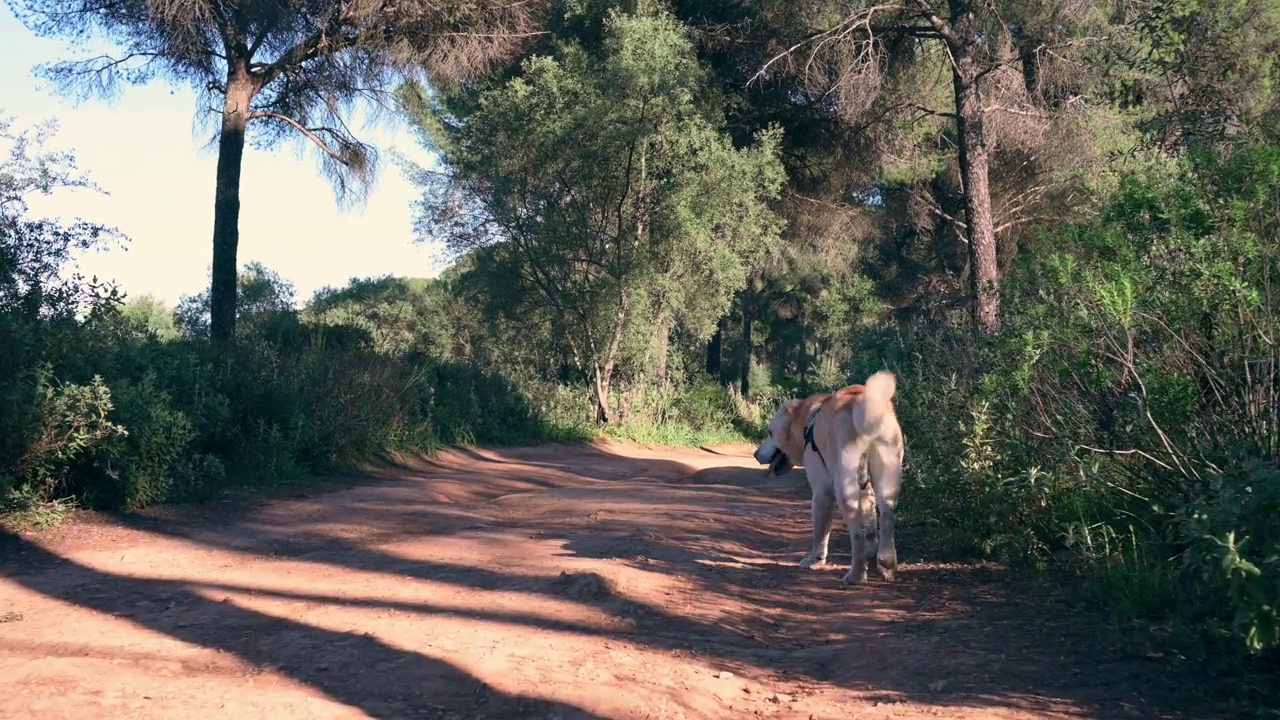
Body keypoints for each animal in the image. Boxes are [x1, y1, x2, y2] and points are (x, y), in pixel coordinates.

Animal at [752, 368, 906, 584]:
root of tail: (862, 402)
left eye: (769, 432)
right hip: (888, 476)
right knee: (886, 518)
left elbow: (820, 531)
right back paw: (887, 565)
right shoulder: (866, 488)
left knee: (856, 534)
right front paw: (872, 551)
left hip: (844, 487)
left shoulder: (821, 490)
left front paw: (814, 560)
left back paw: (856, 575)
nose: (755, 453)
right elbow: (870, 523)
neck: (807, 420)